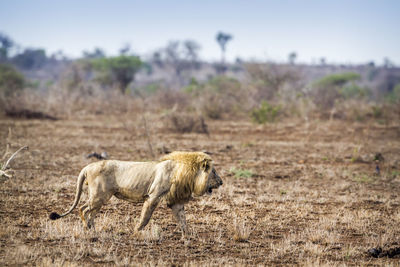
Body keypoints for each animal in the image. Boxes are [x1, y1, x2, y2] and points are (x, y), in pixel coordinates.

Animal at [49, 152, 222, 238]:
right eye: (214, 172)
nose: (221, 182)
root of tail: (87, 167)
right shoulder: (153, 196)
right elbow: (145, 217)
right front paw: (136, 231)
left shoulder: (176, 201)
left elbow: (182, 219)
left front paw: (188, 235)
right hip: (100, 195)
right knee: (83, 209)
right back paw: (88, 229)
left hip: (98, 197)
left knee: (88, 211)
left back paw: (92, 229)